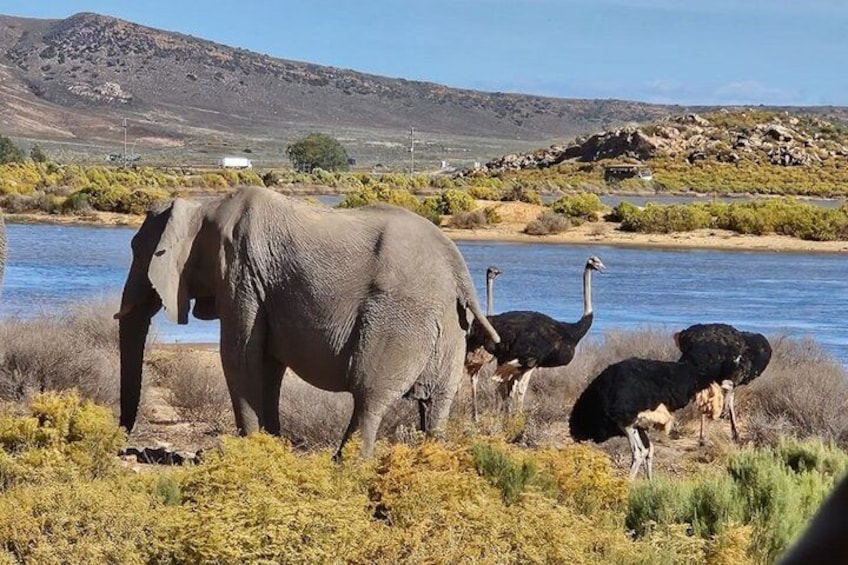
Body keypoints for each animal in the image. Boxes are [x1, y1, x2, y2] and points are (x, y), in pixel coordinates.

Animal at [115, 186, 499, 458]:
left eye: (138, 253)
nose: (123, 444)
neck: (205, 208)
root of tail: (458, 269)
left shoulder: (242, 275)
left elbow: (240, 357)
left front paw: (251, 450)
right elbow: (267, 365)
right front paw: (272, 445)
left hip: (399, 317)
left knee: (370, 394)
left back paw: (347, 465)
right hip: (449, 325)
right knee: (437, 403)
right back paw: (432, 460)